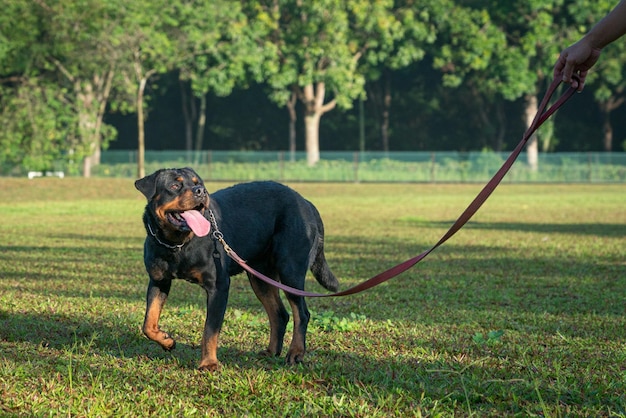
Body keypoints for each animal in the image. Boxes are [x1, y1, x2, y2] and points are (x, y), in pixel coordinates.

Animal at [133, 168, 336, 370]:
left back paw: (295, 353)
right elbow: (148, 322)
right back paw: (271, 352)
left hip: (290, 270)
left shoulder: (218, 286)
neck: (177, 245)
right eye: (175, 185)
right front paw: (167, 341)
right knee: (280, 314)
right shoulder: (158, 281)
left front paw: (208, 363)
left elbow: (210, 330)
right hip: (260, 277)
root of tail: (305, 202)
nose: (201, 191)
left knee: (301, 313)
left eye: (198, 183)